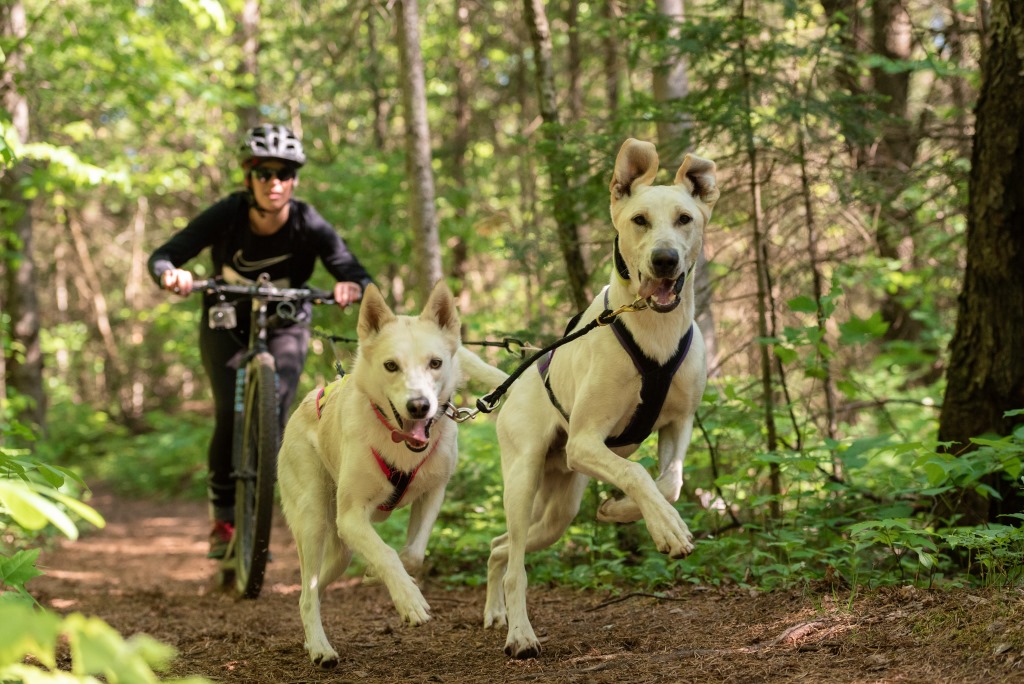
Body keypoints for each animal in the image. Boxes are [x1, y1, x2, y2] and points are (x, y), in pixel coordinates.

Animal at [280, 282, 507, 667]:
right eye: (391, 365)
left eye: (435, 363)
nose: (419, 406)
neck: (398, 442)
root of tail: (309, 399)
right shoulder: (352, 517)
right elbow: (386, 553)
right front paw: (409, 600)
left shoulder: (433, 494)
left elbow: (411, 554)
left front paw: (382, 576)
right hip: (314, 520)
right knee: (308, 592)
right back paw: (321, 648)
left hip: (342, 549)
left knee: (313, 589)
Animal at [481, 137, 716, 655]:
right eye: (639, 220)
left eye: (685, 218)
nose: (666, 259)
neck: (653, 327)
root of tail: (516, 380)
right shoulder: (586, 441)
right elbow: (636, 471)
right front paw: (666, 527)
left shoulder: (679, 423)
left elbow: (669, 481)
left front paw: (624, 511)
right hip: (524, 477)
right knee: (515, 566)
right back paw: (519, 632)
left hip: (558, 508)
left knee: (500, 549)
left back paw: (494, 612)